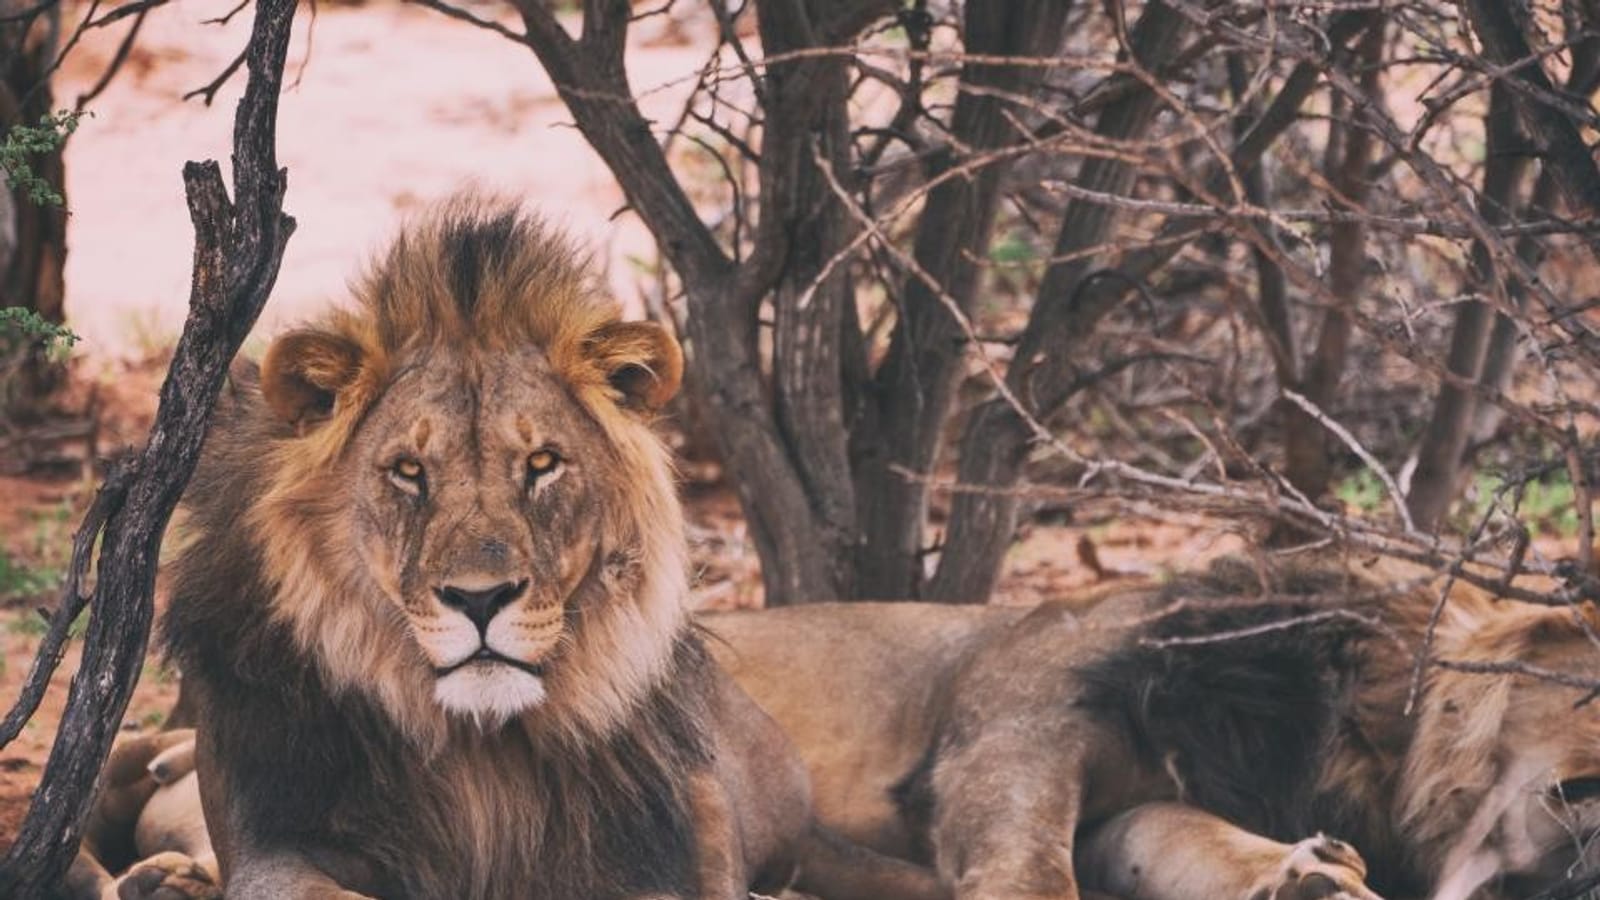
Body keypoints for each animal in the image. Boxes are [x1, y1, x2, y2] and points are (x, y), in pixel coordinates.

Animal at [116, 202, 944, 900]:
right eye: (408, 471)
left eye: (542, 464)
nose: (480, 600)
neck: (479, 753)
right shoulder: (273, 836)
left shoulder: (631, 848)